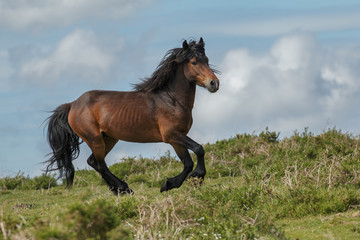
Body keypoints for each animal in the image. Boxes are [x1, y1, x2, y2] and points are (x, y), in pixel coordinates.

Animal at [45, 38, 219, 195]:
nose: (214, 83)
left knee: (93, 162)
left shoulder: (177, 139)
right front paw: (192, 179)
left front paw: (171, 184)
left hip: (109, 138)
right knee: (100, 164)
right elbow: (199, 149)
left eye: (207, 60)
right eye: (194, 62)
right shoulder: (172, 135)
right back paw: (124, 188)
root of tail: (73, 104)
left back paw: (119, 190)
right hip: (94, 139)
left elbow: (188, 163)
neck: (171, 100)